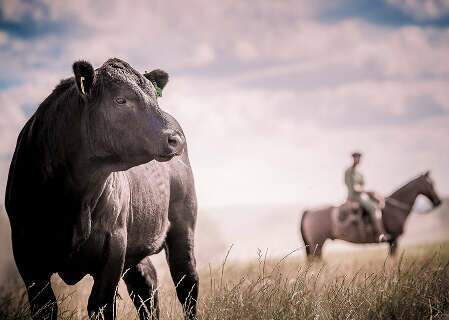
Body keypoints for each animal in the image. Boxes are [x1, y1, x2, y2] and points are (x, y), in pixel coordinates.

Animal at [5, 58, 198, 318]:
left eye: (155, 98)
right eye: (120, 100)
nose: (175, 139)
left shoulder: (113, 246)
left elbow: (101, 304)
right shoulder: (27, 253)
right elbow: (46, 306)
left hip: (182, 227)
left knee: (187, 285)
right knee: (146, 284)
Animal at [300, 171, 440, 258]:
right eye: (431, 183)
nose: (438, 202)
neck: (394, 209)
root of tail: (308, 211)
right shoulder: (394, 240)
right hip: (318, 244)